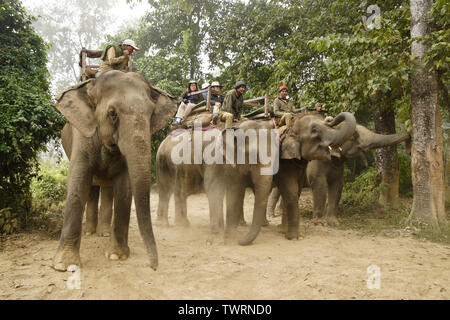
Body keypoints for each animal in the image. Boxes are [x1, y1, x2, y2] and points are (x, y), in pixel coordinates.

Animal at [53, 70, 177, 270]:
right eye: (112, 113)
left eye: (151, 113)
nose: (153, 266)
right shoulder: (82, 136)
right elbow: (78, 182)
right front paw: (64, 265)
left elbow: (124, 188)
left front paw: (115, 256)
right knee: (92, 189)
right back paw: (89, 232)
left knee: (107, 189)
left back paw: (103, 233)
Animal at [156, 111, 356, 244]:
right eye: (315, 130)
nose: (332, 118)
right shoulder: (216, 158)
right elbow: (217, 189)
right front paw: (219, 236)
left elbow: (292, 191)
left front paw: (289, 235)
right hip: (162, 161)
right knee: (166, 190)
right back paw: (170, 226)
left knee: (179, 192)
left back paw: (185, 225)